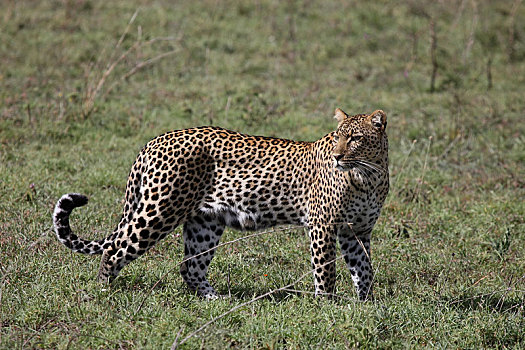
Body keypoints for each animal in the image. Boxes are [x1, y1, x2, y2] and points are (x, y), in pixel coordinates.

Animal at [53, 108, 386, 300]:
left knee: (190, 267)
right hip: (159, 211)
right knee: (114, 249)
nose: (337, 157)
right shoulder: (323, 226)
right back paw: (102, 293)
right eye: (338, 138)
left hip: (204, 222)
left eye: (355, 138)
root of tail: (154, 141)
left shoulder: (357, 231)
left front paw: (366, 304)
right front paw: (327, 306)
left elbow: (364, 267)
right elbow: (326, 270)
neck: (369, 175)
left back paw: (216, 301)